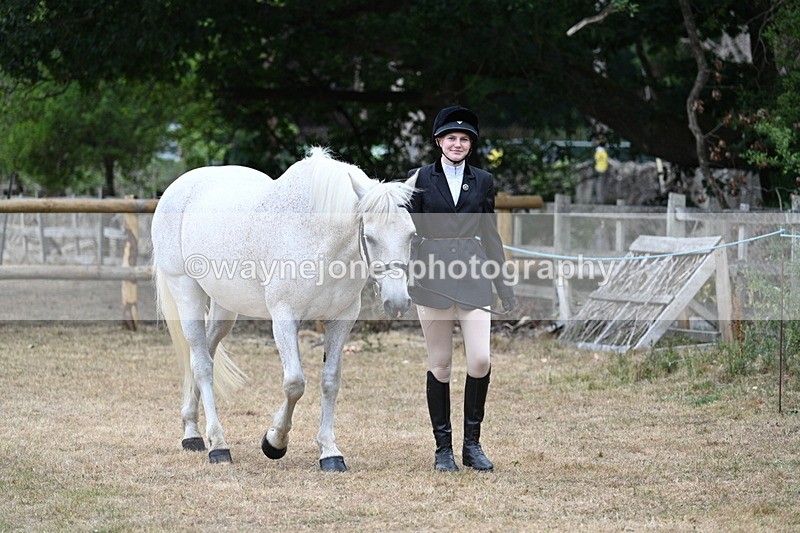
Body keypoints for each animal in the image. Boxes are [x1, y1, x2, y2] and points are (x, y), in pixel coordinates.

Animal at [151, 148, 417, 471]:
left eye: (411, 235)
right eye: (370, 237)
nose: (398, 302)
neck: (317, 237)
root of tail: (177, 187)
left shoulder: (341, 320)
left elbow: (330, 381)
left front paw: (330, 451)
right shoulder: (284, 318)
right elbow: (294, 383)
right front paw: (274, 442)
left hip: (224, 307)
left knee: (201, 356)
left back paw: (191, 432)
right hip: (186, 291)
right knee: (202, 366)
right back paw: (218, 445)